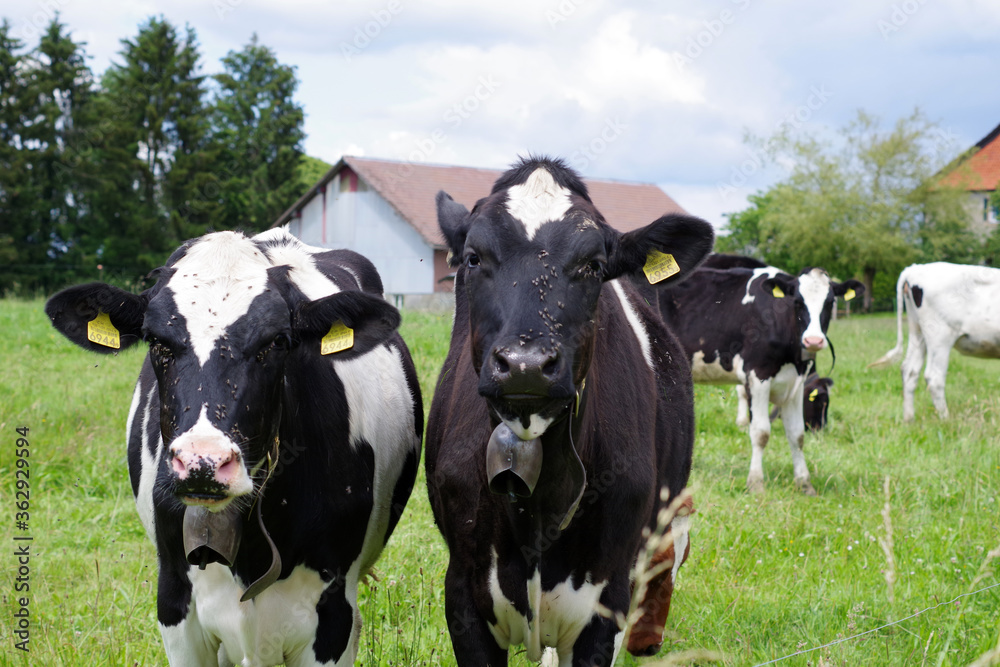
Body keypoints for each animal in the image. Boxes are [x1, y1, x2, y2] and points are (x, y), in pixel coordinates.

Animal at [660, 264, 864, 494]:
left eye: (830, 303)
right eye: (797, 302)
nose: (813, 340)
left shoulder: (795, 384)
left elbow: (797, 434)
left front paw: (804, 483)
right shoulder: (757, 376)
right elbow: (761, 432)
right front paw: (756, 482)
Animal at [868, 262, 1000, 422]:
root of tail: (914, 268)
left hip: (918, 331)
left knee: (909, 370)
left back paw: (909, 420)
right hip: (940, 336)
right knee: (934, 377)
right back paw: (946, 420)